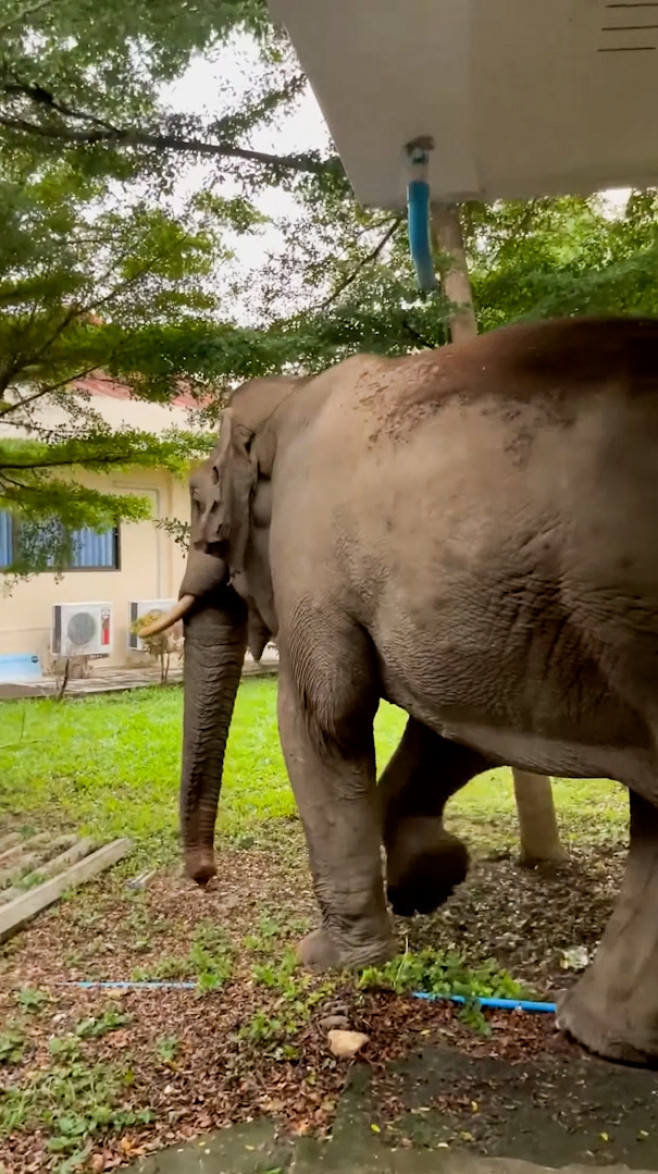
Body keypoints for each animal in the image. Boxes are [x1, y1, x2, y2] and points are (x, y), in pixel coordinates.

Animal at [145, 316, 658, 1070]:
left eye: (202, 498)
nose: (205, 875)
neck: (289, 398)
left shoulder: (310, 556)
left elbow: (322, 717)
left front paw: (330, 959)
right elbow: (448, 731)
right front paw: (430, 881)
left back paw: (592, 1033)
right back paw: (603, 1034)